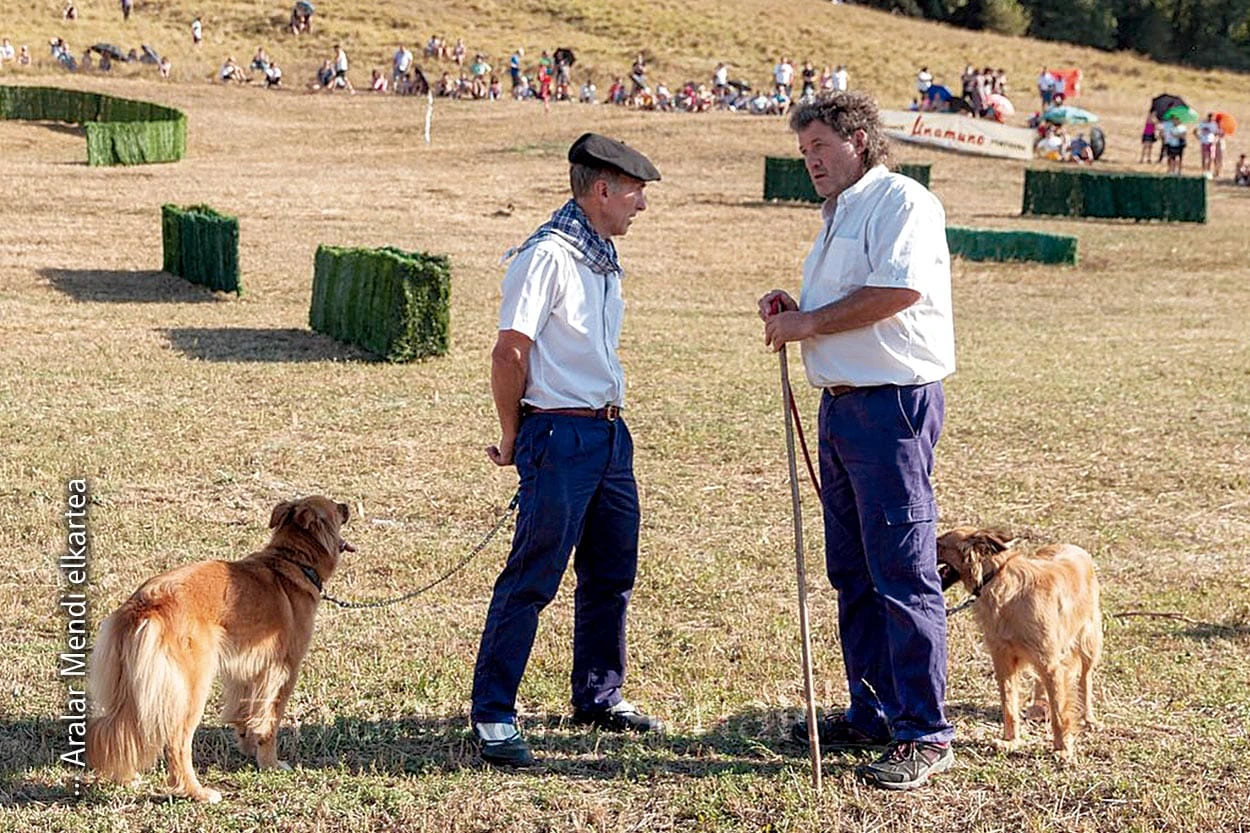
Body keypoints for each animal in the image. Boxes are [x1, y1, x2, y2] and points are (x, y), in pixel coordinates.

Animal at [87, 492, 352, 800]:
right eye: (334, 508)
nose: (347, 505)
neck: (291, 560)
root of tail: (145, 605)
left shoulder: (249, 671)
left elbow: (245, 714)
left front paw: (248, 749)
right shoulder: (282, 671)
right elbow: (269, 722)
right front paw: (270, 763)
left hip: (133, 688)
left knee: (118, 730)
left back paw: (126, 777)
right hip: (190, 690)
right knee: (176, 743)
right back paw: (196, 791)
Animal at [940, 525, 1105, 760]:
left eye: (939, 544)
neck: (996, 579)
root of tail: (1075, 548)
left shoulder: (1051, 661)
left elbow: (1059, 712)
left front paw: (1063, 749)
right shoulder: (1004, 660)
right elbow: (1009, 705)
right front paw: (1011, 741)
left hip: (1088, 641)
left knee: (1085, 679)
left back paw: (1089, 718)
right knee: (1041, 680)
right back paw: (1037, 707)